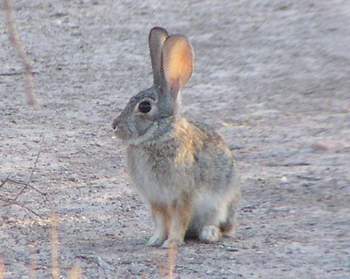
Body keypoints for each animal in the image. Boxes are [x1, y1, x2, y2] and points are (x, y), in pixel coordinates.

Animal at [113, 27, 241, 248]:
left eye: (144, 106)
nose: (115, 125)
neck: (158, 137)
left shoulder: (183, 196)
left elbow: (179, 220)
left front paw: (171, 243)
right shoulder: (156, 199)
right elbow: (160, 221)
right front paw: (154, 240)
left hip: (221, 205)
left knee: (221, 226)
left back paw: (209, 233)